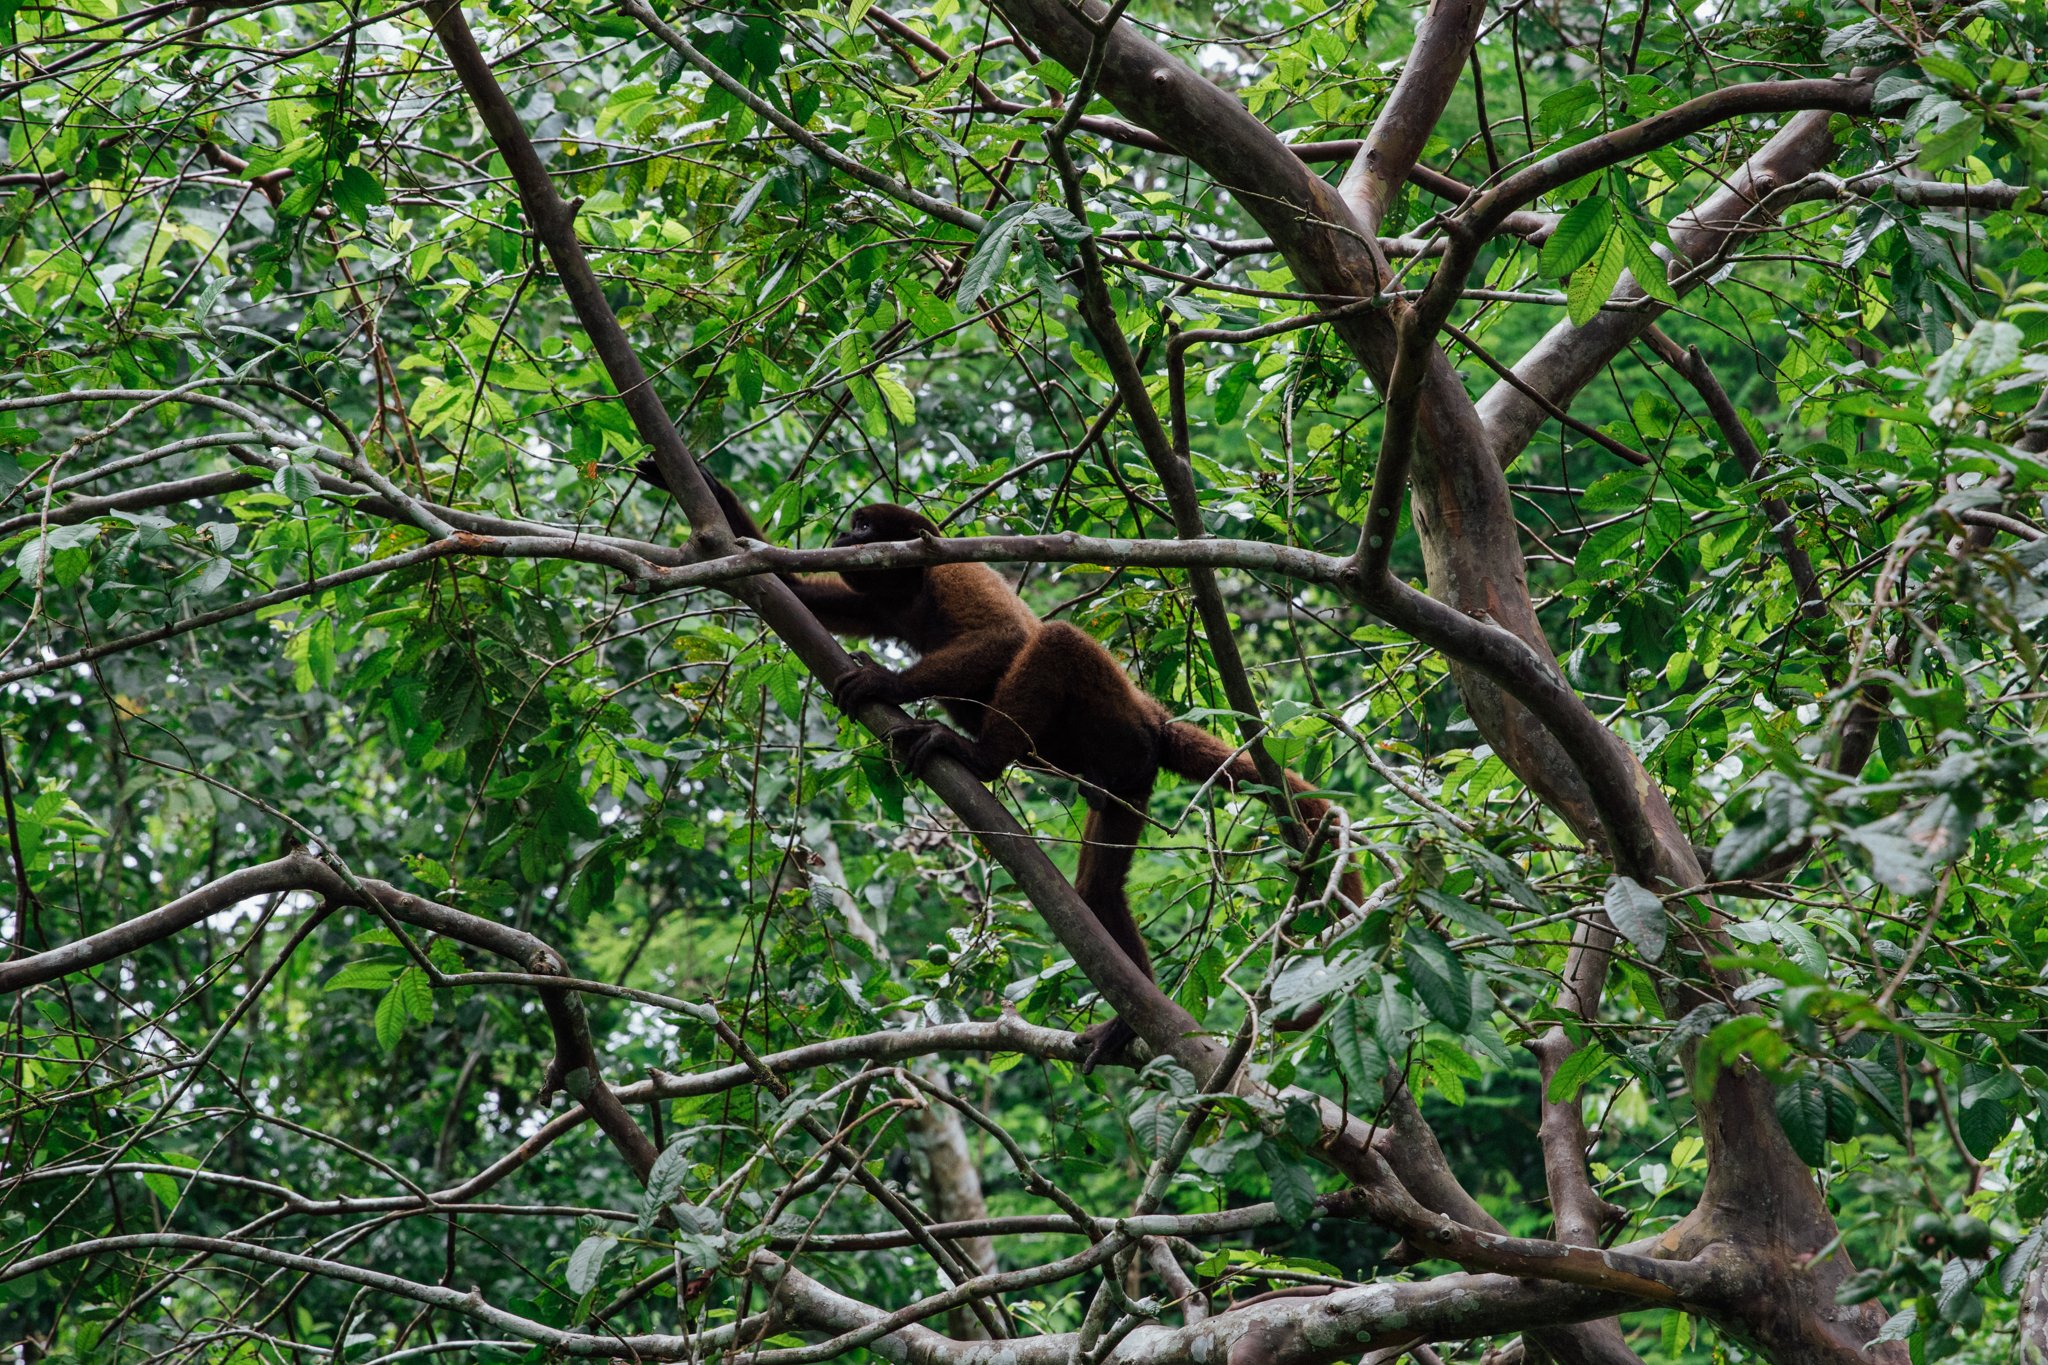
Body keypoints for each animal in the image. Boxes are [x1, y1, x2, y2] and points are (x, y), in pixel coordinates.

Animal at [651, 466, 1359, 1064]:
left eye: (865, 527)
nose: (841, 534)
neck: (910, 590)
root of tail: (1152, 719)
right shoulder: (880, 599)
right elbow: (793, 591)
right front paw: (701, 490)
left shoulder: (950, 572)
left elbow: (1004, 640)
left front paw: (884, 682)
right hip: (1124, 786)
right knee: (1096, 892)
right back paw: (1128, 1019)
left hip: (1115, 723)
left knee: (1055, 640)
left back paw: (979, 759)